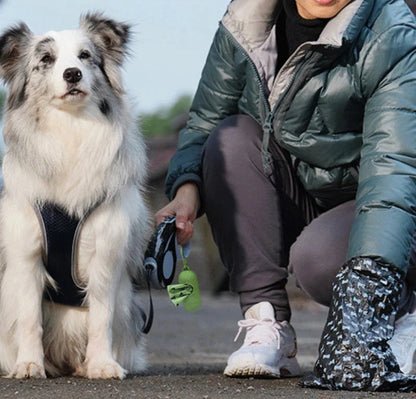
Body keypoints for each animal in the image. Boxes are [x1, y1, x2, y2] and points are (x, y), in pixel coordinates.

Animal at [0, 13, 150, 382]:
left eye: (85, 56)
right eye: (46, 60)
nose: (72, 74)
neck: (71, 128)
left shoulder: (106, 254)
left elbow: (101, 317)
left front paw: (102, 364)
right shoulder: (26, 254)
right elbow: (29, 318)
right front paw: (29, 364)